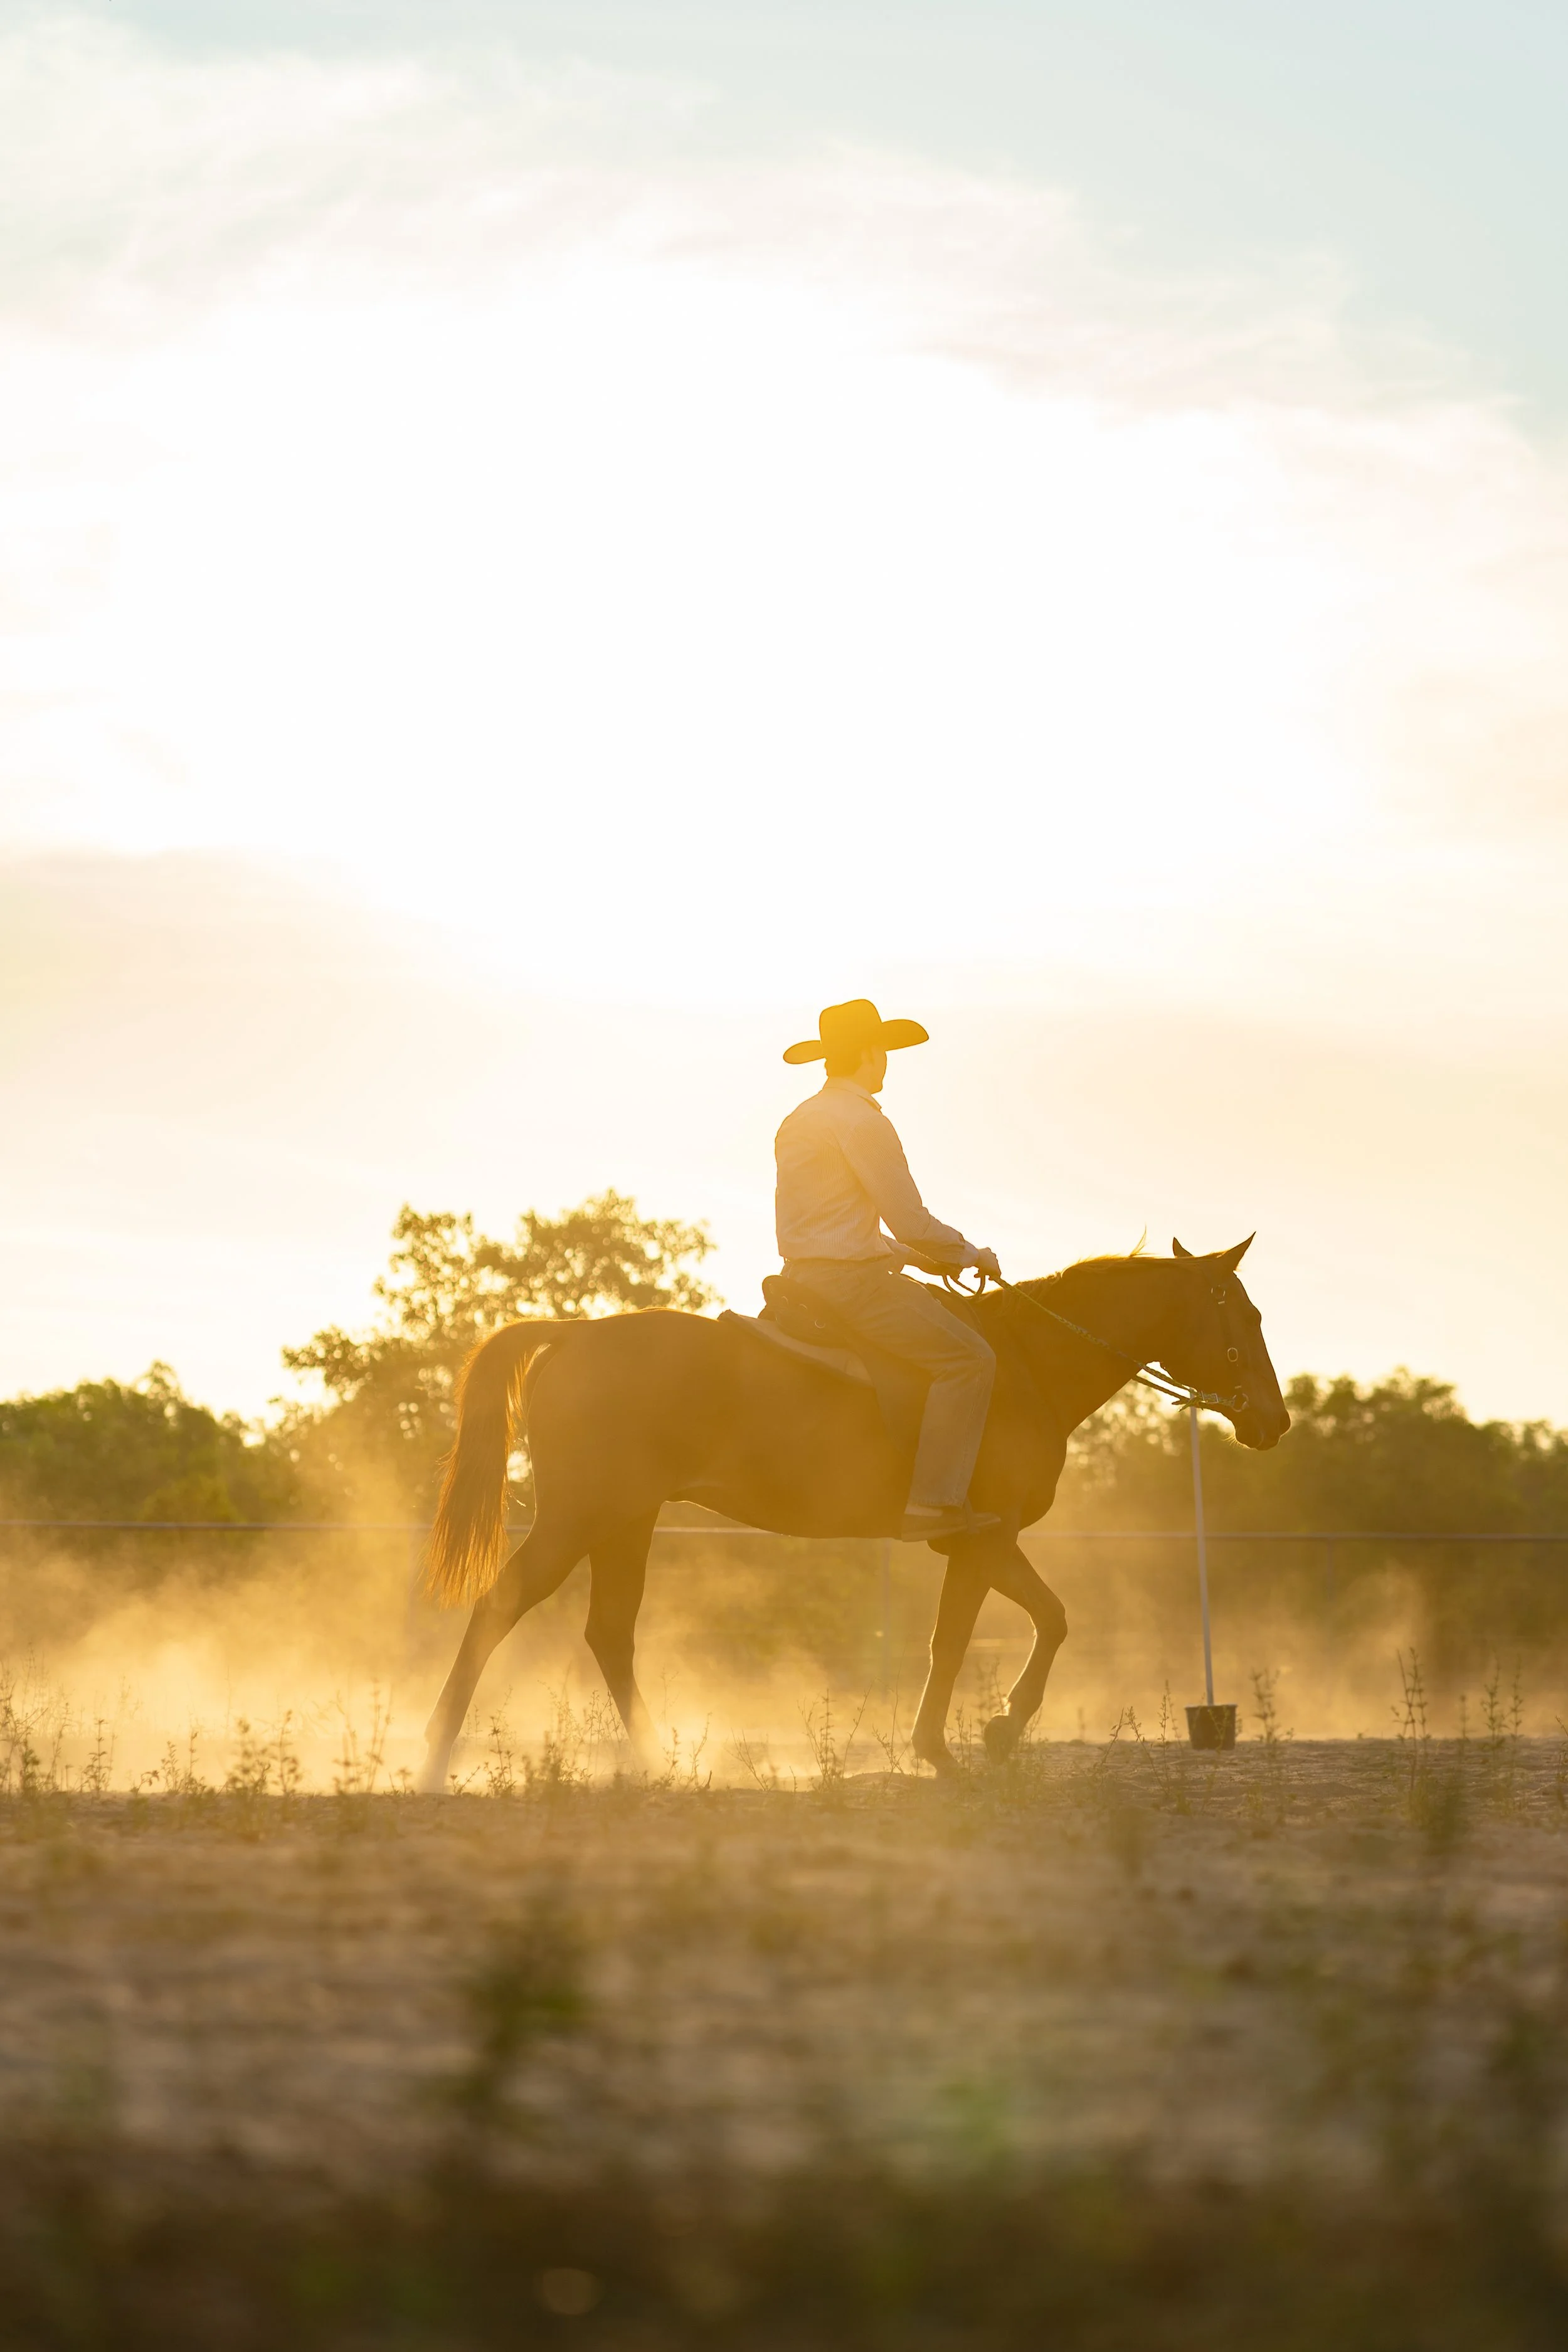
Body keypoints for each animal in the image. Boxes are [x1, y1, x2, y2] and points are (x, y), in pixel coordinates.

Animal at [416, 1237, 1289, 1788]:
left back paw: (658, 1763)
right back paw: (432, 1758)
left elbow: (995, 1630)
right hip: (579, 1519)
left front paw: (964, 1741)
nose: (1273, 1421)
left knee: (609, 1635)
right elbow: (1005, 1629)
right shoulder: (986, 1538)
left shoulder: (974, 1546)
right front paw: (973, 1740)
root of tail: (575, 1335)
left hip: (627, 1522)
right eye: (1245, 1317)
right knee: (500, 1609)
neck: (1026, 1365)